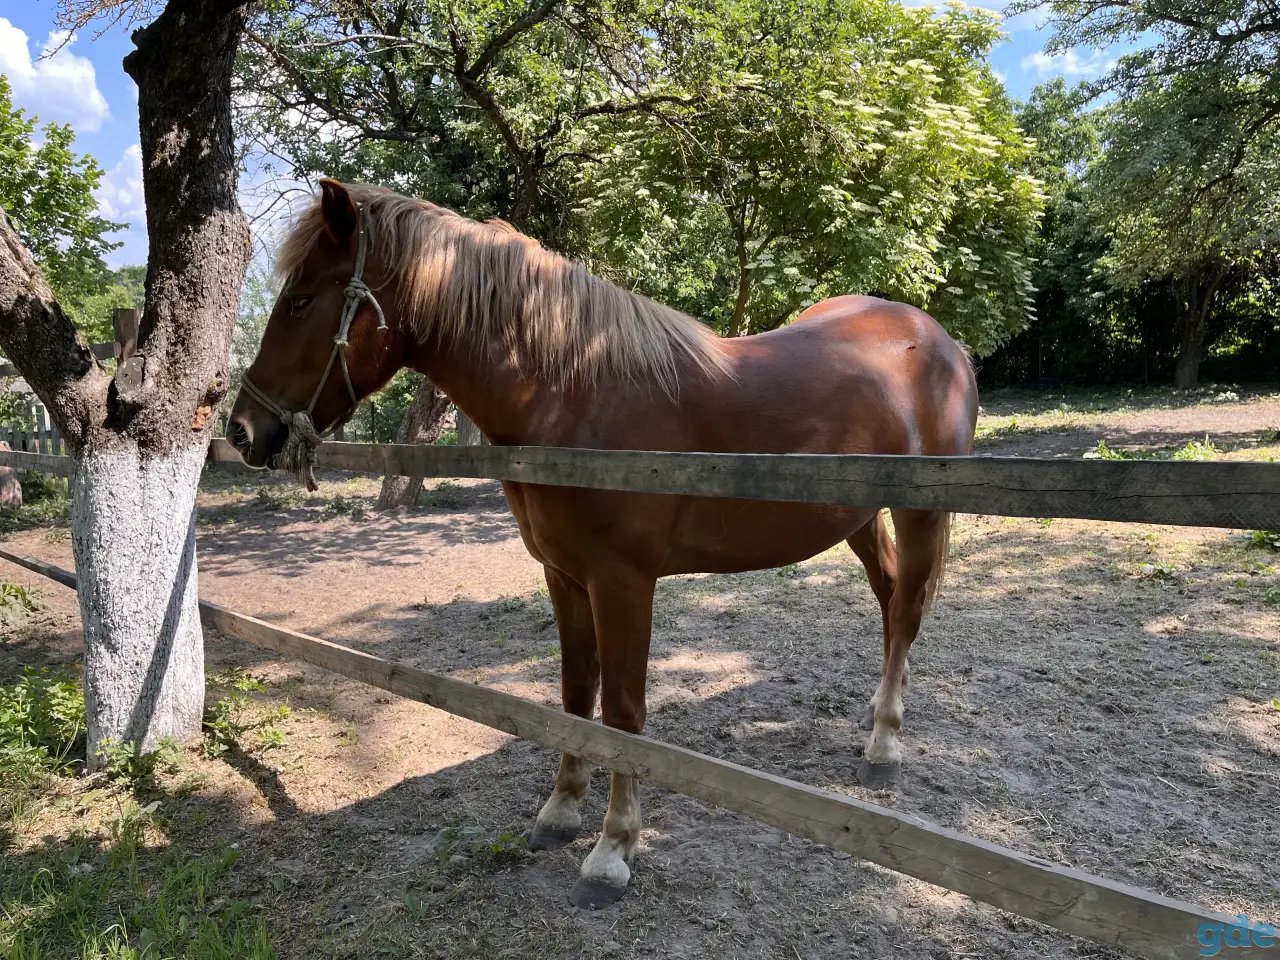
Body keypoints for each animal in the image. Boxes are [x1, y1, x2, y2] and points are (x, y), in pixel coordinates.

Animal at [227, 179, 979, 909]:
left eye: (299, 300)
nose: (241, 430)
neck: (576, 395)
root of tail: (935, 337)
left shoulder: (623, 582)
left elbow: (620, 711)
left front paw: (613, 850)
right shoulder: (564, 576)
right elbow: (573, 694)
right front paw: (562, 809)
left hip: (919, 514)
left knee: (907, 609)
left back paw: (885, 742)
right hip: (857, 517)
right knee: (889, 599)